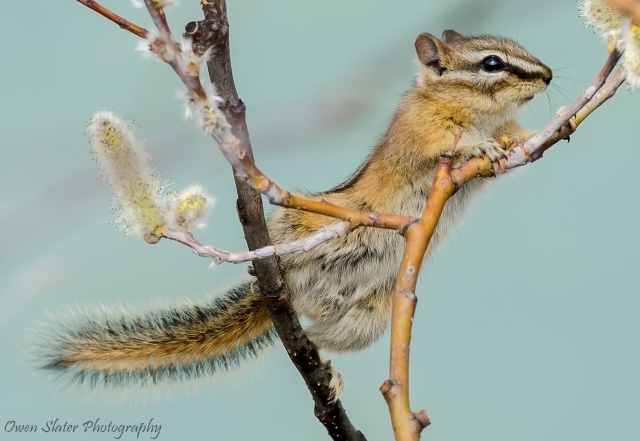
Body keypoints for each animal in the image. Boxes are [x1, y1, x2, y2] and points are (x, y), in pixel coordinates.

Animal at [35, 30, 552, 398]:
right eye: (492, 63)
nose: (547, 75)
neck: (476, 112)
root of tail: (294, 296)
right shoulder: (421, 132)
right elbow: (443, 147)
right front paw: (477, 146)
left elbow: (515, 141)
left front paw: (534, 136)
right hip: (298, 232)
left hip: (366, 320)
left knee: (319, 336)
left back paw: (327, 368)